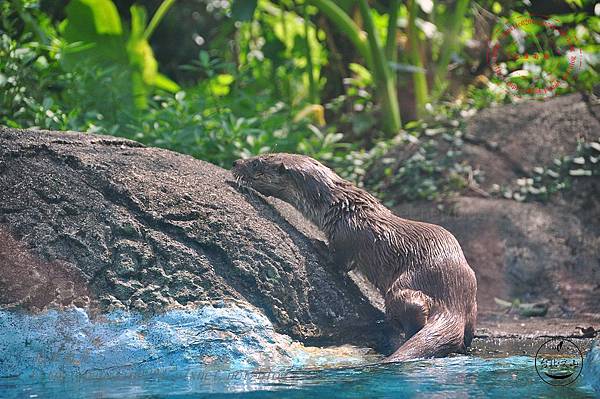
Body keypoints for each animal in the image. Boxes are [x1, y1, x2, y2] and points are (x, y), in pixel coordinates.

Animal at [232, 154, 476, 362]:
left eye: (255, 163)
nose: (235, 163)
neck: (340, 207)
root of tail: (452, 304)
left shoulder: (344, 236)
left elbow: (338, 261)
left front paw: (315, 242)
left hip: (405, 286)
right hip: (471, 303)